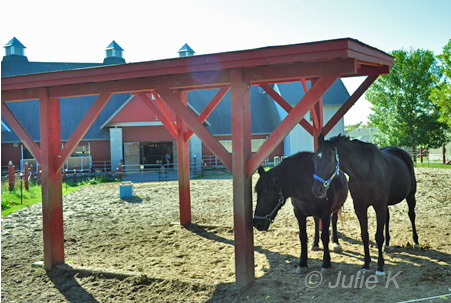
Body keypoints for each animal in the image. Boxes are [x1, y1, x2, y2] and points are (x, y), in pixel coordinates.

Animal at [310, 135, 420, 278]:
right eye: (314, 158)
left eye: (330, 159)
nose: (317, 190)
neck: (365, 172)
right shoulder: (360, 207)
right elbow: (365, 235)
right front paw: (366, 265)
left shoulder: (378, 206)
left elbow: (378, 236)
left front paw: (380, 267)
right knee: (388, 218)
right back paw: (387, 245)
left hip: (411, 195)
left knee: (412, 215)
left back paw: (416, 243)